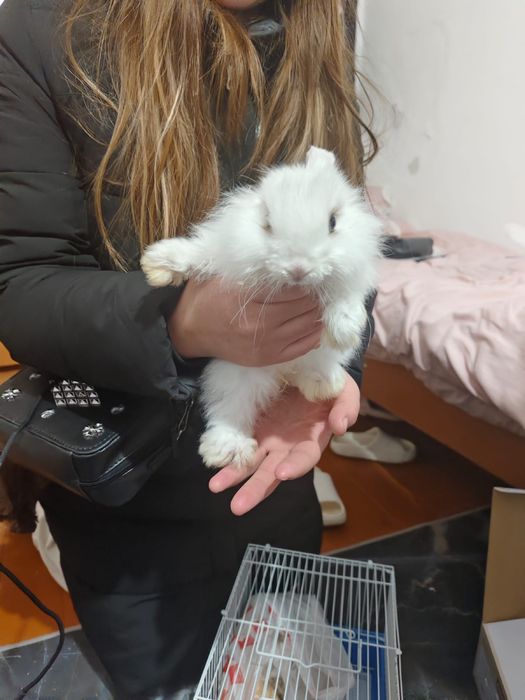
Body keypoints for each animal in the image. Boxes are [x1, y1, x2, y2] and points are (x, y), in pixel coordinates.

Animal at [141, 146, 382, 470]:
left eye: (333, 222)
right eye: (266, 222)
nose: (298, 269)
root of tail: (285, 372)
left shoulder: (352, 277)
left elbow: (345, 298)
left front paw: (343, 331)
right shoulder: (223, 249)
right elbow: (199, 252)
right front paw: (158, 264)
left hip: (315, 359)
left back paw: (323, 385)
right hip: (236, 376)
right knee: (230, 408)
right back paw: (225, 449)